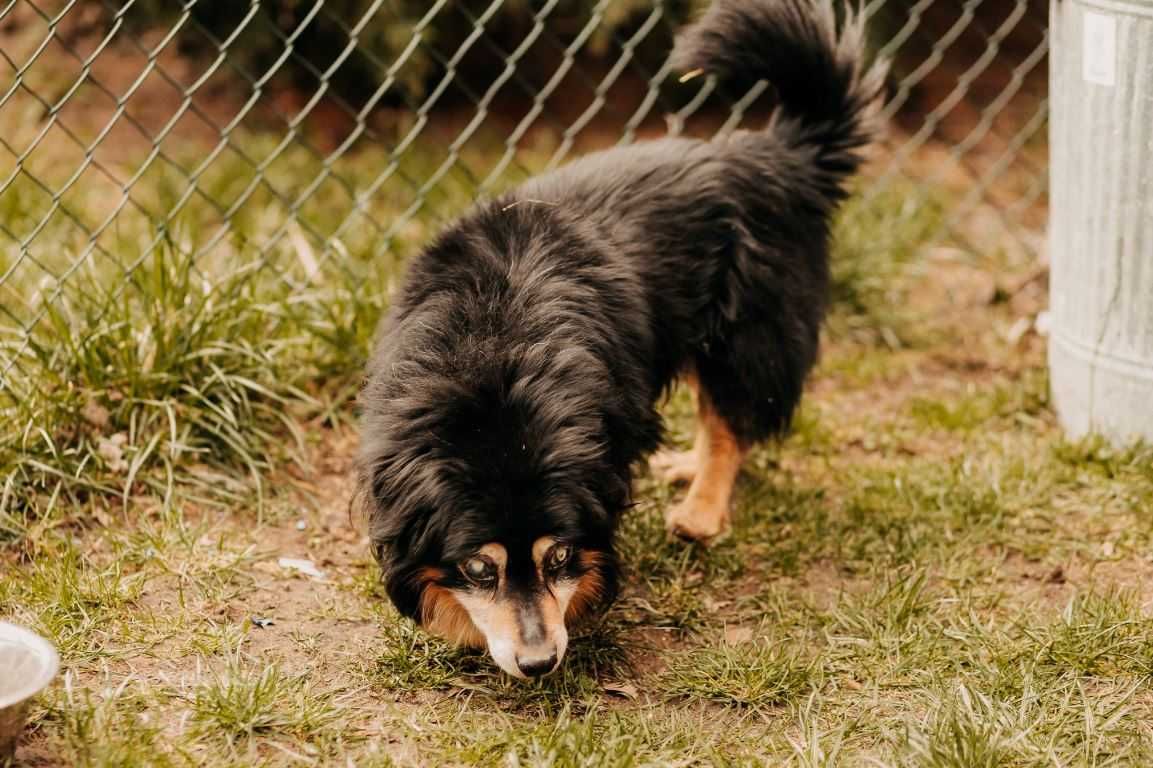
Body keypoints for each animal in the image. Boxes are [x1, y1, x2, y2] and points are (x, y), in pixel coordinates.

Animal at [357, 0, 880, 678]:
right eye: (478, 567)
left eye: (559, 556)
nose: (539, 664)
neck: (493, 353)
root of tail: (781, 154)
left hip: (746, 333)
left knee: (731, 421)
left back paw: (701, 512)